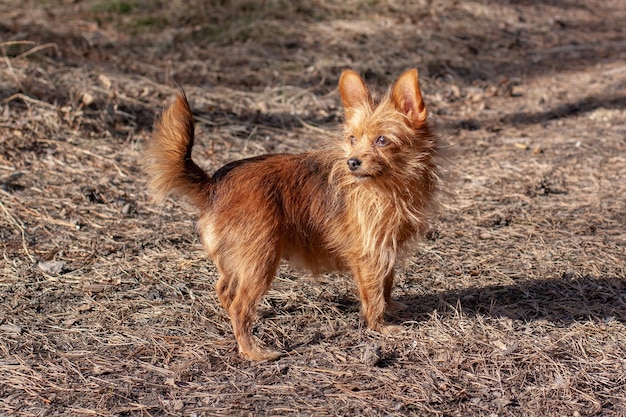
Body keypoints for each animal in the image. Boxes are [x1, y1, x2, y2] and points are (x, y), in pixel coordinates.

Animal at [145, 66, 438, 360]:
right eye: (353, 139)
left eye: (382, 140)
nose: (352, 162)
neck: (391, 185)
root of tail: (214, 186)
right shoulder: (370, 253)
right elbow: (374, 293)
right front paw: (380, 327)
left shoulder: (385, 248)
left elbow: (387, 282)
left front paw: (392, 307)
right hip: (260, 261)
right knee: (239, 305)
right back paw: (253, 351)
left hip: (239, 259)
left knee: (225, 290)